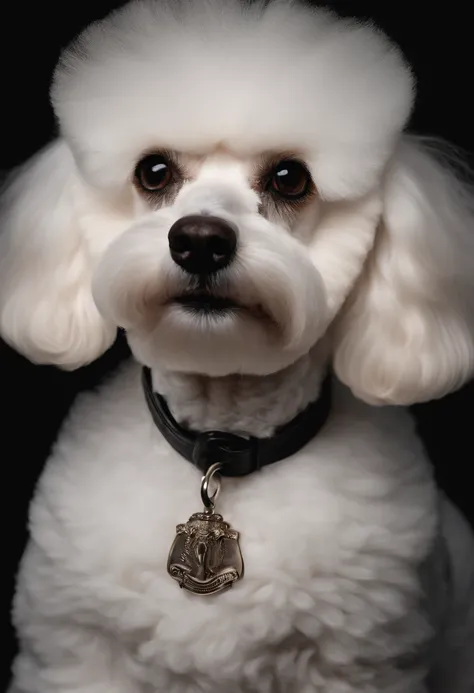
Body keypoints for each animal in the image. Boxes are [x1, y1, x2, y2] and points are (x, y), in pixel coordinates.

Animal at [2, 0, 474, 688]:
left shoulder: (357, 667)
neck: (222, 442)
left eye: (290, 178)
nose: (199, 240)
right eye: (153, 171)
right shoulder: (77, 656)